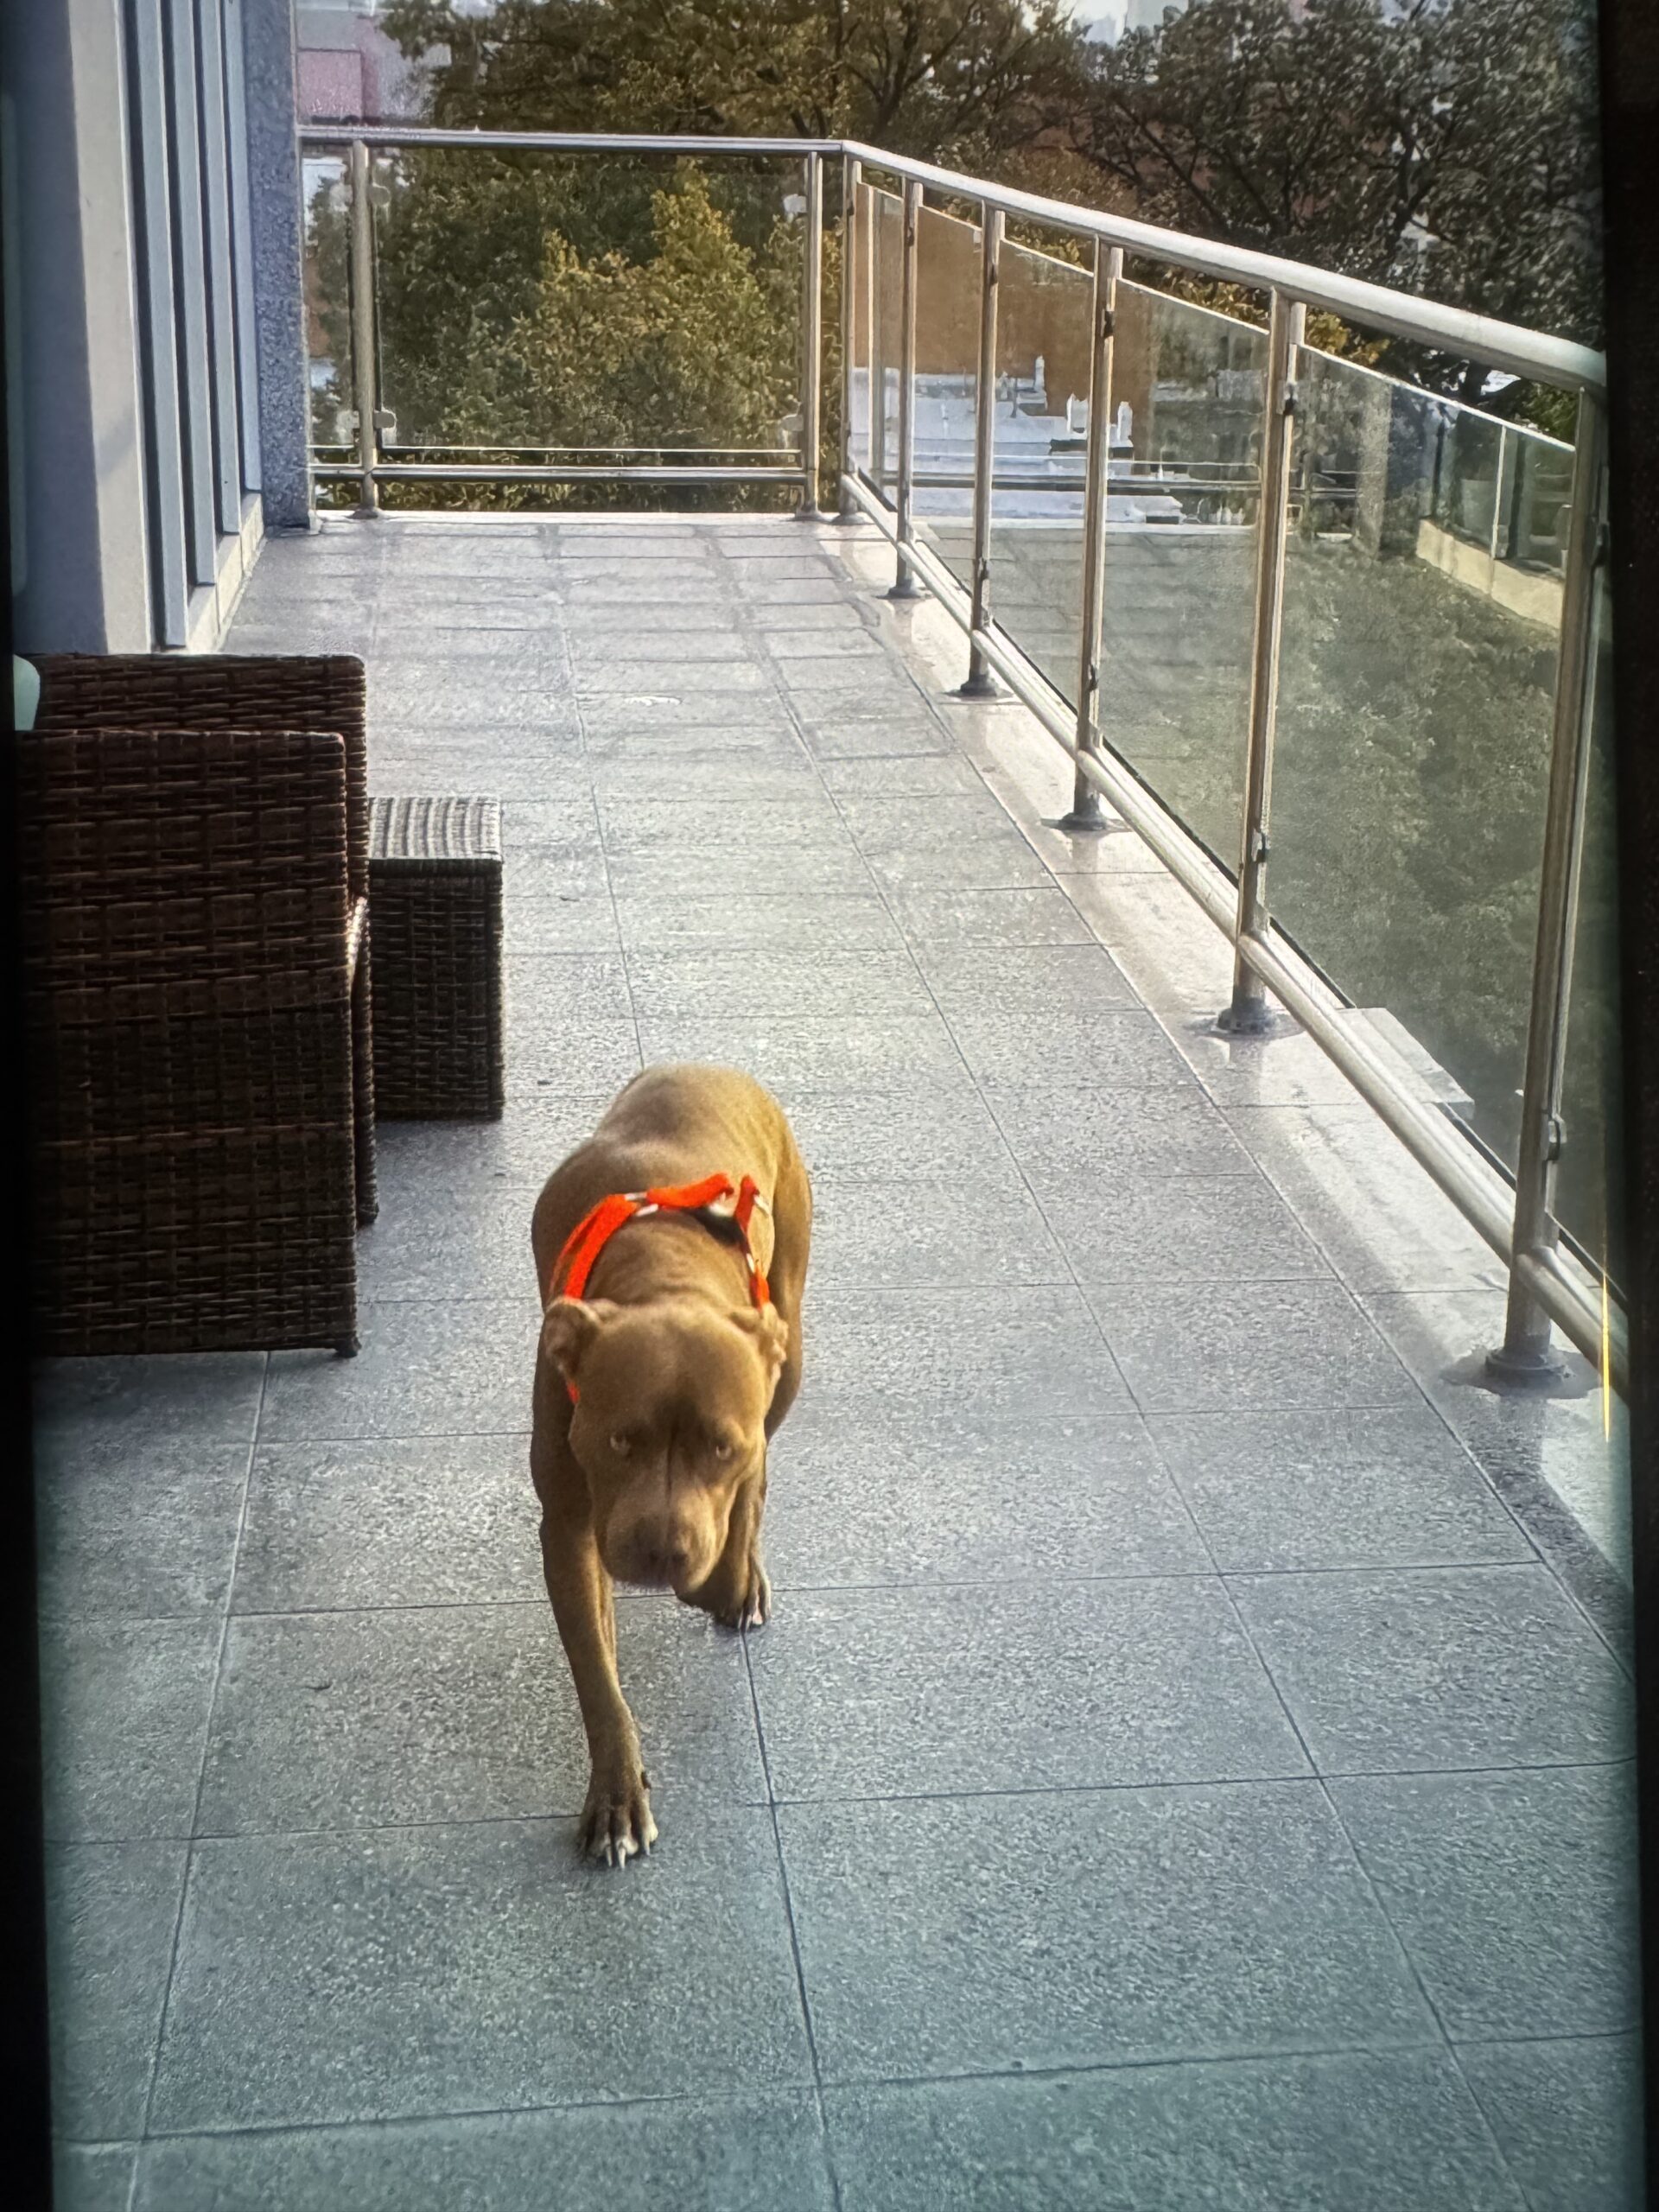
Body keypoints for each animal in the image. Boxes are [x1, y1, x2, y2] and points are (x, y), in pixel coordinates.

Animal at [530, 1064, 812, 1866]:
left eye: (721, 1445)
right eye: (620, 1441)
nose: (660, 1550)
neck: (666, 1274)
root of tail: (711, 1067)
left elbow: (729, 1536)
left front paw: (730, 1582)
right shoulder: (568, 1526)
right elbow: (597, 1674)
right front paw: (618, 1798)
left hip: (791, 1347)